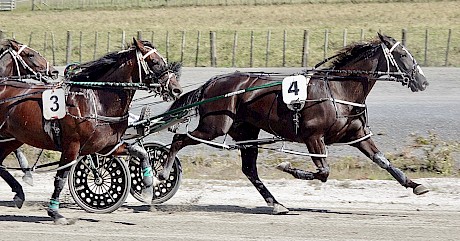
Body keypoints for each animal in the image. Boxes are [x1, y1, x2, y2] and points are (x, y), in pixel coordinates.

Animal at [0, 38, 183, 224]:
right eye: (154, 62)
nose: (177, 89)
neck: (96, 100)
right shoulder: (72, 146)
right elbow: (61, 178)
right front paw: (55, 212)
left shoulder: (107, 146)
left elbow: (141, 153)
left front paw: (147, 188)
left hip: (12, 138)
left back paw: (19, 193)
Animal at [157, 33, 428, 213]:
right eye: (402, 54)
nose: (423, 82)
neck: (339, 90)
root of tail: (211, 83)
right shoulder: (313, 138)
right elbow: (323, 172)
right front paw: (287, 167)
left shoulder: (356, 136)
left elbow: (383, 161)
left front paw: (415, 185)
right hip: (214, 127)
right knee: (179, 139)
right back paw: (162, 171)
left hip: (245, 132)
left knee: (249, 169)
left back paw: (276, 204)